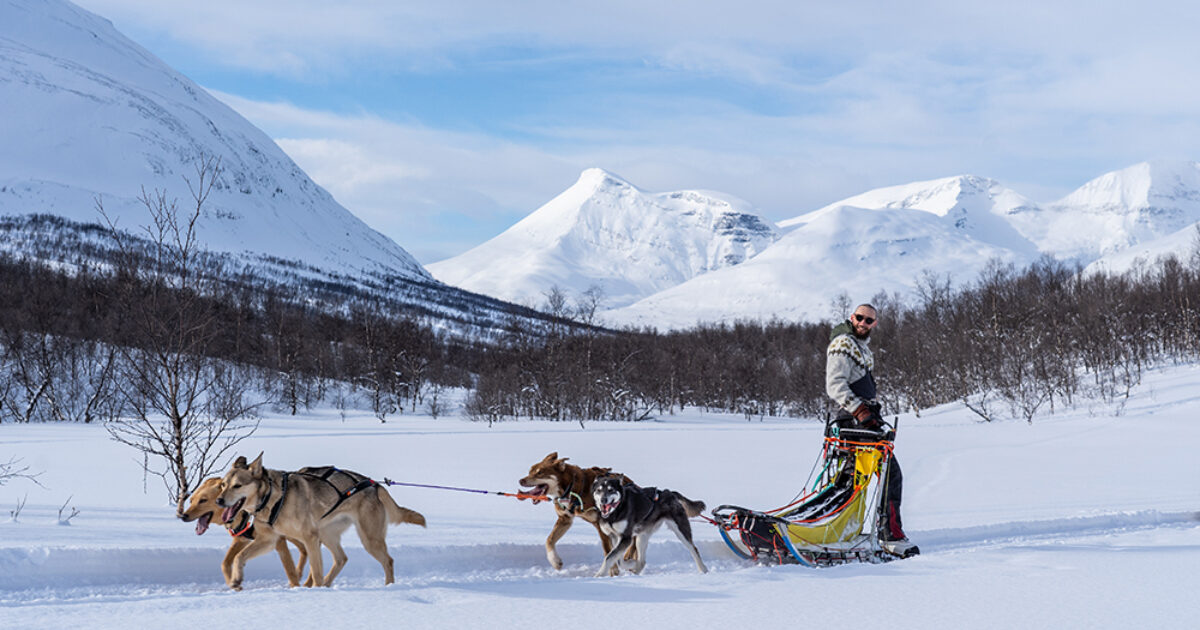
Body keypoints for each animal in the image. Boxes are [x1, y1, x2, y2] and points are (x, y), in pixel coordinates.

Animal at [180, 475, 309, 588]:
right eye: (191, 501)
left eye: (203, 500)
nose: (183, 516)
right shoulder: (241, 539)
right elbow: (225, 563)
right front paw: (233, 582)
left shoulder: (276, 541)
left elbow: (289, 569)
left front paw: (295, 586)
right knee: (304, 550)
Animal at [218, 453, 424, 588]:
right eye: (223, 485)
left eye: (237, 486)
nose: (219, 500)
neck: (273, 498)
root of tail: (373, 485)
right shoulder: (269, 540)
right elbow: (239, 557)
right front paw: (236, 578)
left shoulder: (309, 538)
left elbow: (315, 571)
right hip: (326, 534)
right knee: (341, 559)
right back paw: (326, 584)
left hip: (369, 539)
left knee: (388, 561)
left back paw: (389, 586)